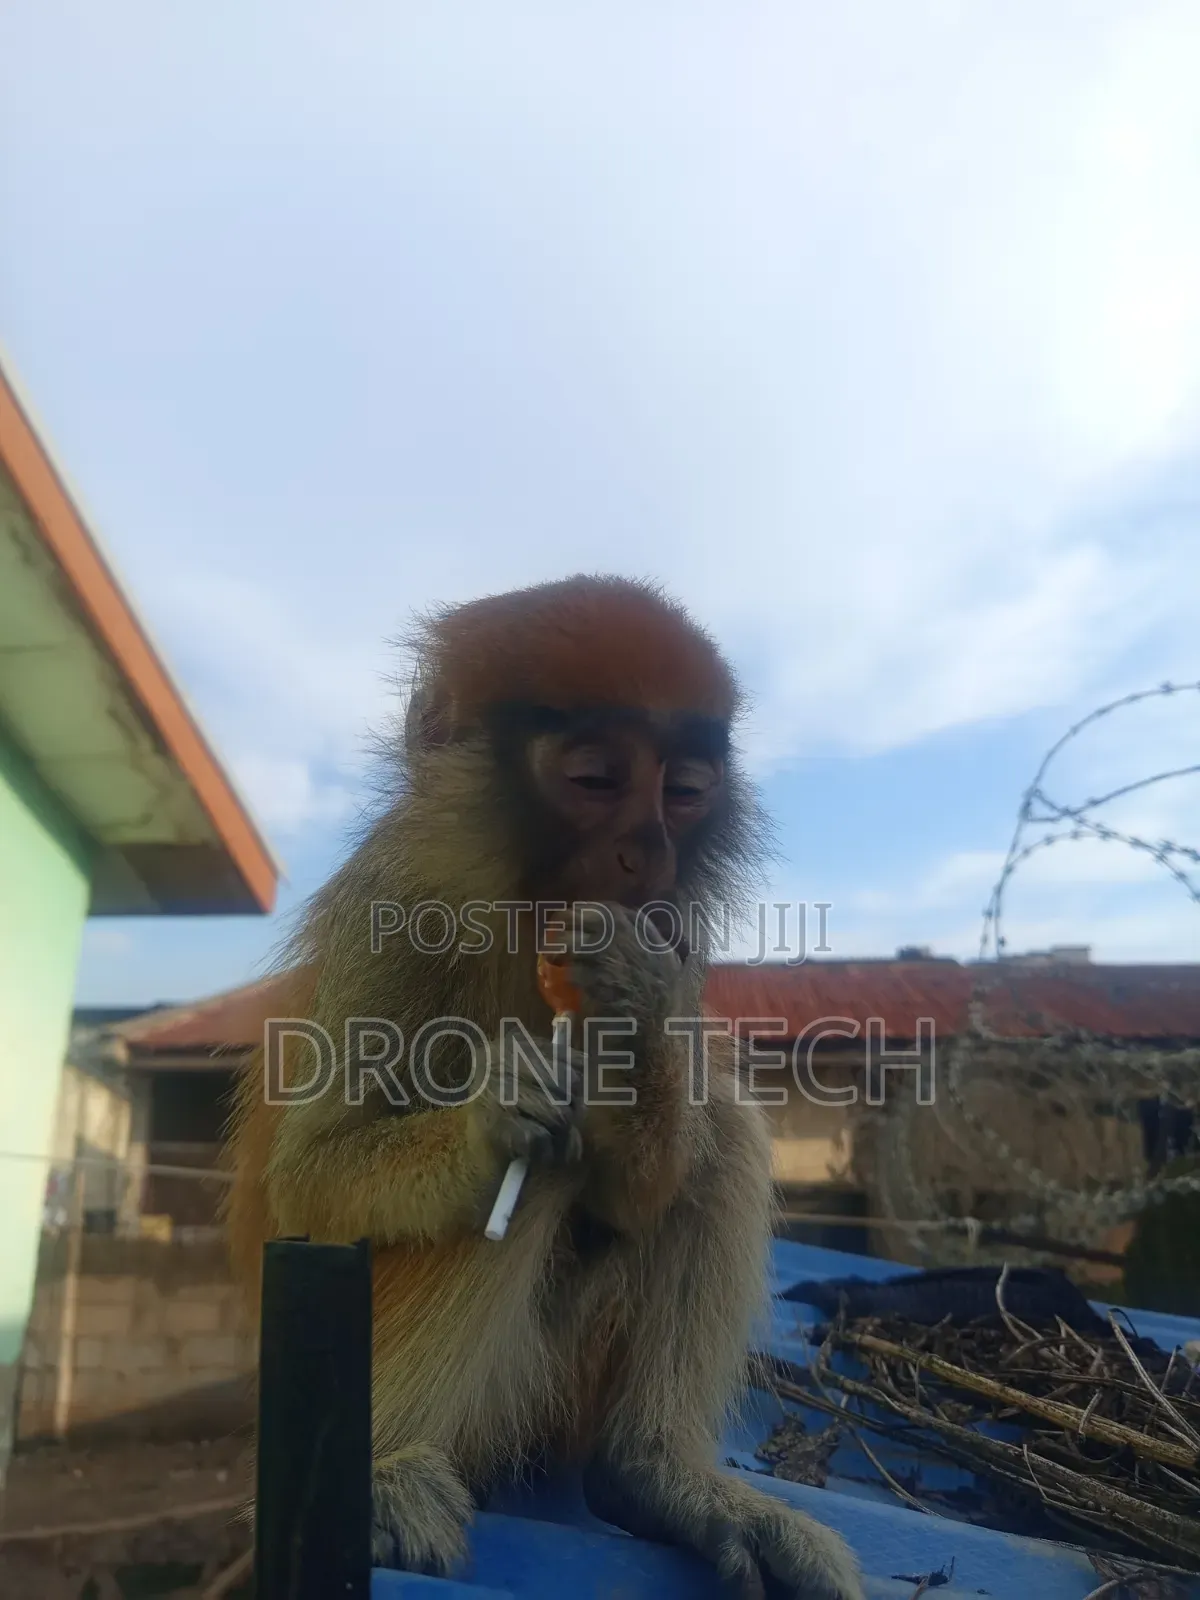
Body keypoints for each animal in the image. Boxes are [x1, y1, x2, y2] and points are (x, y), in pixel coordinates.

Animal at [224, 575, 864, 1600]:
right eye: (596, 779)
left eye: (685, 792)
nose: (648, 854)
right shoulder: (391, 904)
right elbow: (315, 1183)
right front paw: (495, 1119)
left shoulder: (674, 937)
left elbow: (642, 1189)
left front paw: (630, 1009)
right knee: (544, 1168)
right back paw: (386, 1467)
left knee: (716, 1132)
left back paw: (654, 1475)